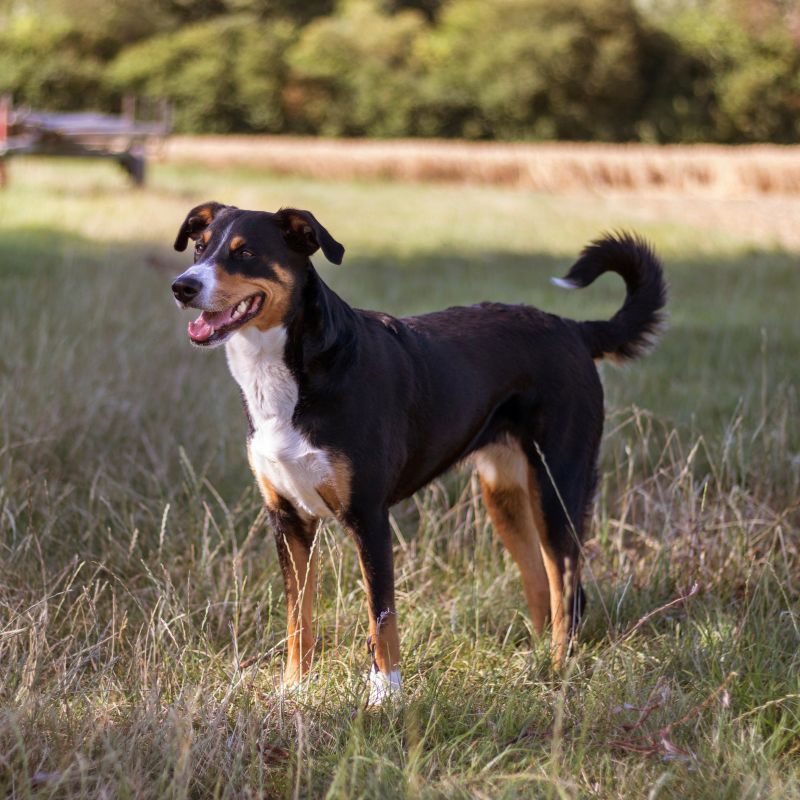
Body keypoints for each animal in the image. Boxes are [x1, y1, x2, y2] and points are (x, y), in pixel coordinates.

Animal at [172, 202, 664, 708]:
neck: (290, 374)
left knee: (566, 585)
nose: (183, 286)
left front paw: (385, 697)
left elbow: (381, 617)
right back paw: (535, 664)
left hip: (557, 487)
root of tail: (572, 330)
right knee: (540, 581)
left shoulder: (369, 516)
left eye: (246, 252)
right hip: (504, 494)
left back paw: (559, 668)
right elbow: (298, 618)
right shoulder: (288, 519)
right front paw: (294, 690)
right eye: (199, 247)